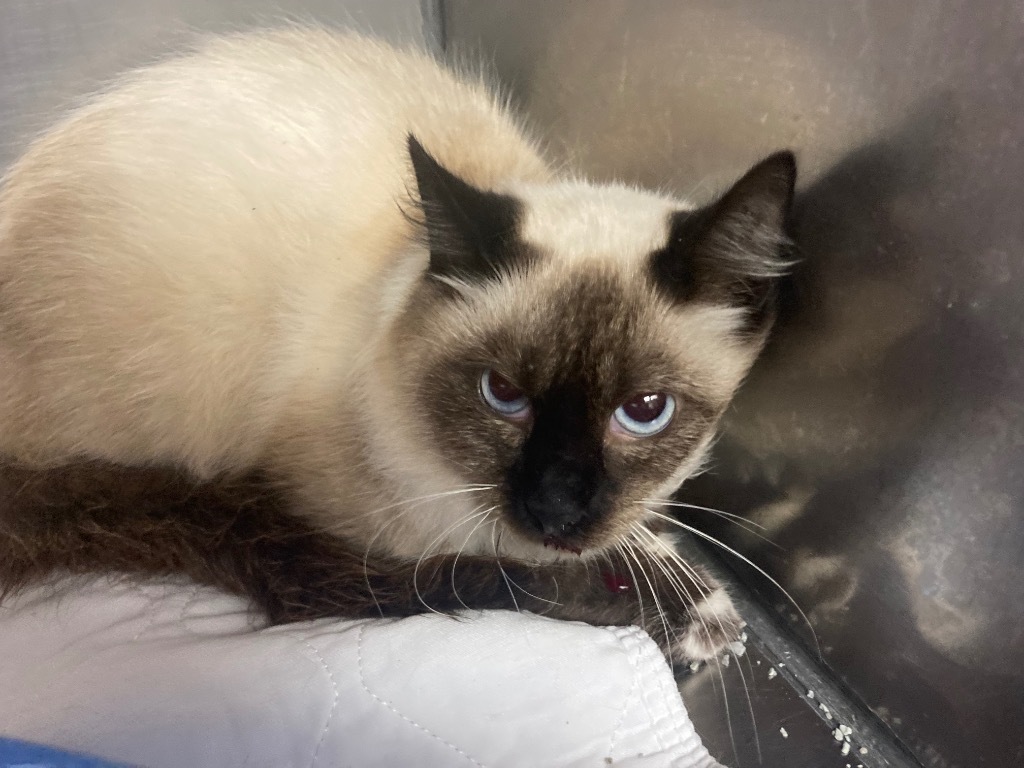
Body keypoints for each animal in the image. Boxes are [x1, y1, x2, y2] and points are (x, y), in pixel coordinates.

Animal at [0, 27, 794, 663]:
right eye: (502, 394)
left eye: (645, 410)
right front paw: (691, 612)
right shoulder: (353, 532)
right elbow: (508, 573)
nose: (555, 511)